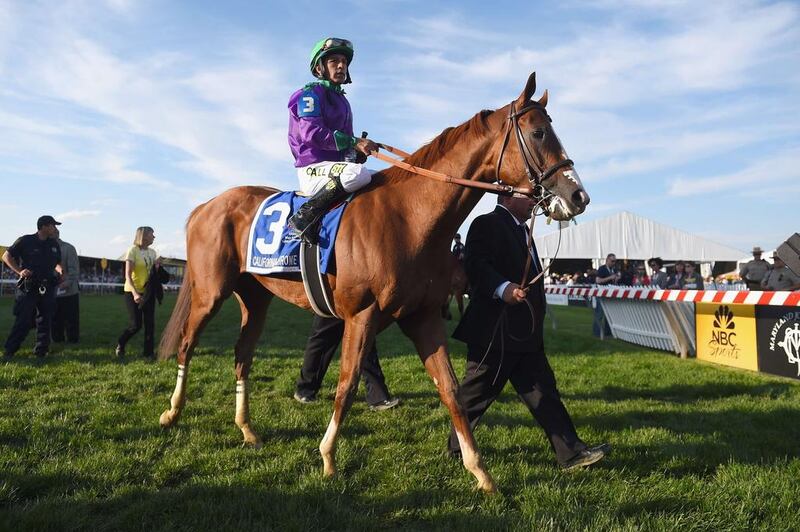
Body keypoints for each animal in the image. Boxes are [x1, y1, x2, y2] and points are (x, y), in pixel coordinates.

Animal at [159, 72, 592, 492]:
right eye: (539, 133)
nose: (578, 196)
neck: (409, 216)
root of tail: (207, 205)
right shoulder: (362, 315)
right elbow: (347, 384)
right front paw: (328, 458)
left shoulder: (423, 316)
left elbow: (451, 389)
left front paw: (480, 472)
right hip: (211, 291)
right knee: (187, 343)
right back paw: (172, 413)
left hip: (255, 297)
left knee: (242, 355)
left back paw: (247, 430)